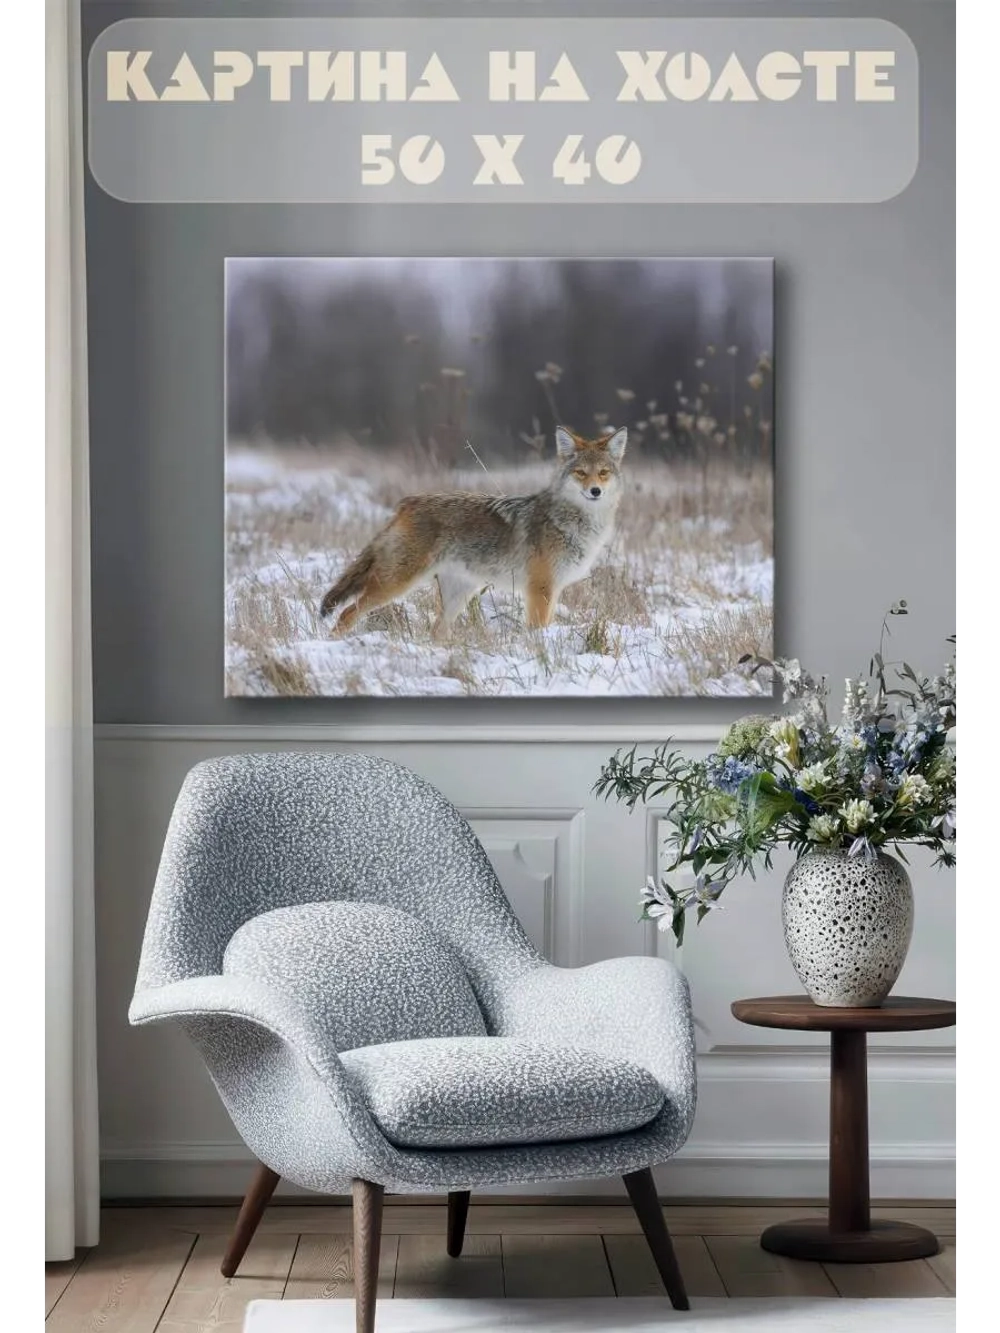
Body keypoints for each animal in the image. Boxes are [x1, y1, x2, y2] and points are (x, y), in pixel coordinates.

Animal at [319, 425, 628, 640]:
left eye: (603, 473)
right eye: (580, 473)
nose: (595, 491)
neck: (573, 522)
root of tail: (407, 503)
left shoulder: (554, 590)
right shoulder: (539, 589)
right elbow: (536, 630)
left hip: (457, 595)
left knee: (436, 632)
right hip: (397, 584)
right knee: (347, 613)